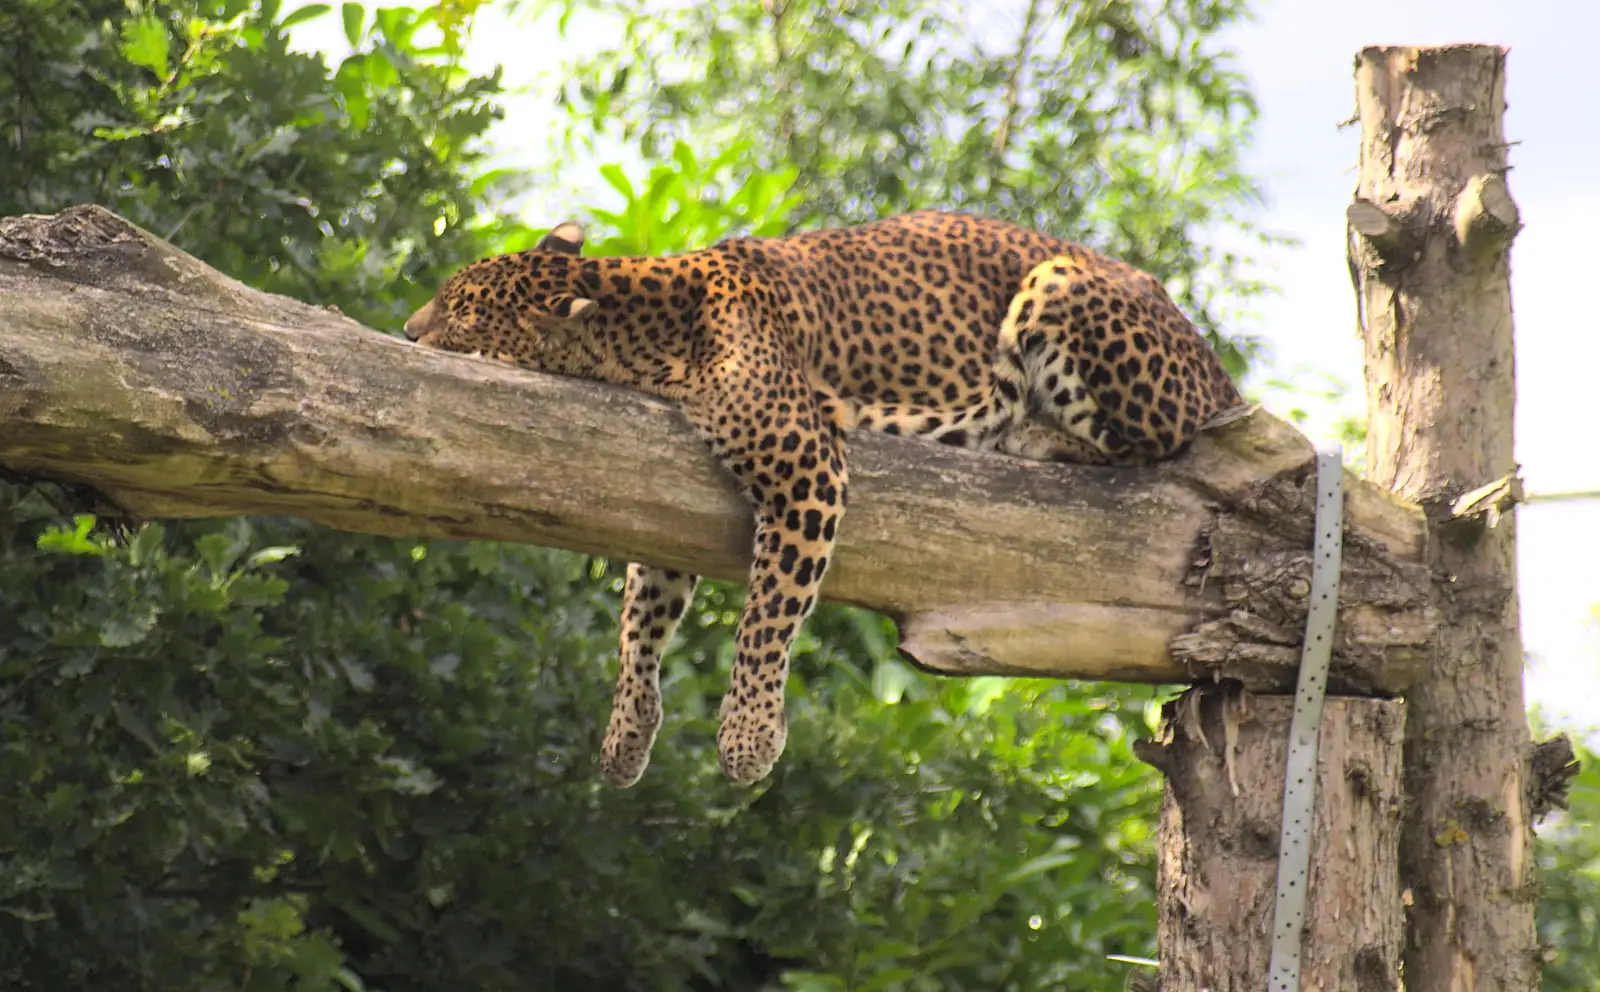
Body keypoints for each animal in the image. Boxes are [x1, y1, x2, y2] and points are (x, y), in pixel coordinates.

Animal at [403, 211, 1248, 790]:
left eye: (462, 308)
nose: (408, 332)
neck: (649, 326)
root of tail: (1217, 368)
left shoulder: (805, 466)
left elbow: (766, 615)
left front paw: (747, 740)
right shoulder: (671, 505)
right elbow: (641, 616)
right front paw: (627, 735)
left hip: (1062, 288)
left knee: (1164, 440)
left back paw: (1030, 433)